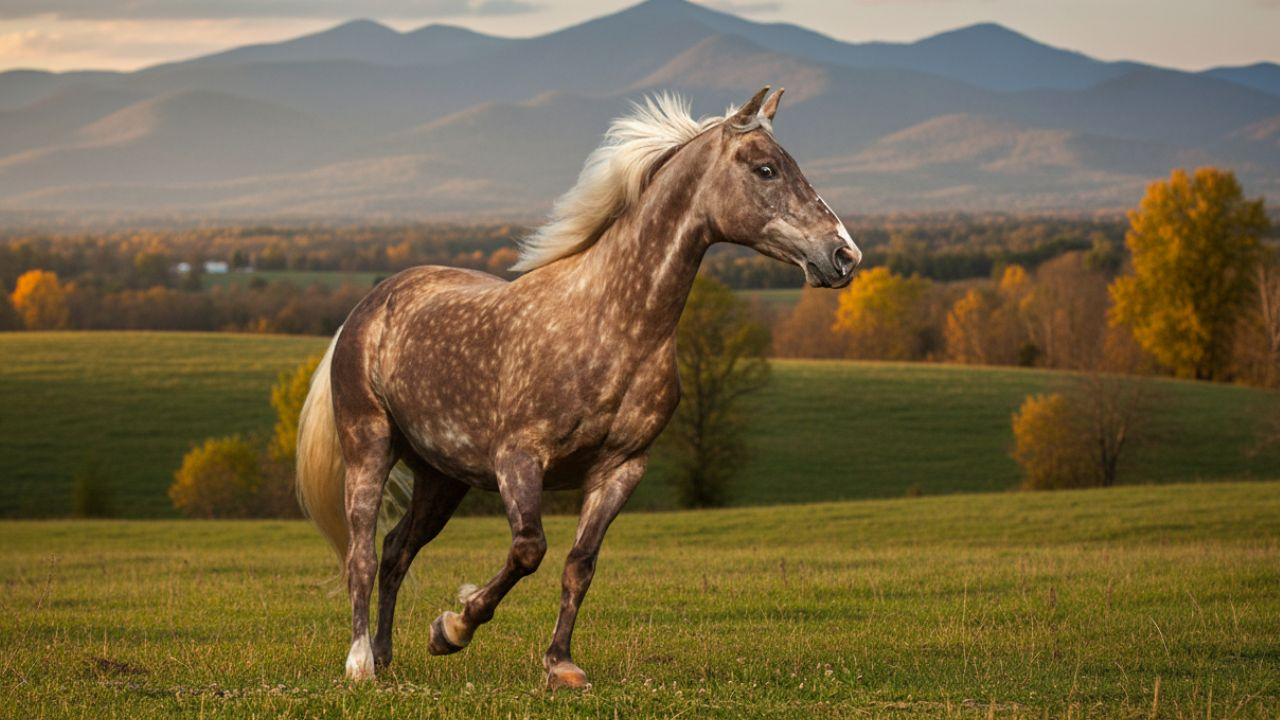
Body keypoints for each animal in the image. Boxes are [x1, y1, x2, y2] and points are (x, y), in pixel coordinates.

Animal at [295, 85, 862, 689]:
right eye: (766, 169)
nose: (844, 255)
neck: (612, 322)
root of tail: (368, 305)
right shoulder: (519, 458)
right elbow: (529, 550)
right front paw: (454, 626)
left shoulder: (621, 469)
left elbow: (579, 565)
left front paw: (559, 664)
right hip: (369, 446)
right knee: (361, 551)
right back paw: (360, 662)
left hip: (441, 476)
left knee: (397, 549)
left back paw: (384, 654)